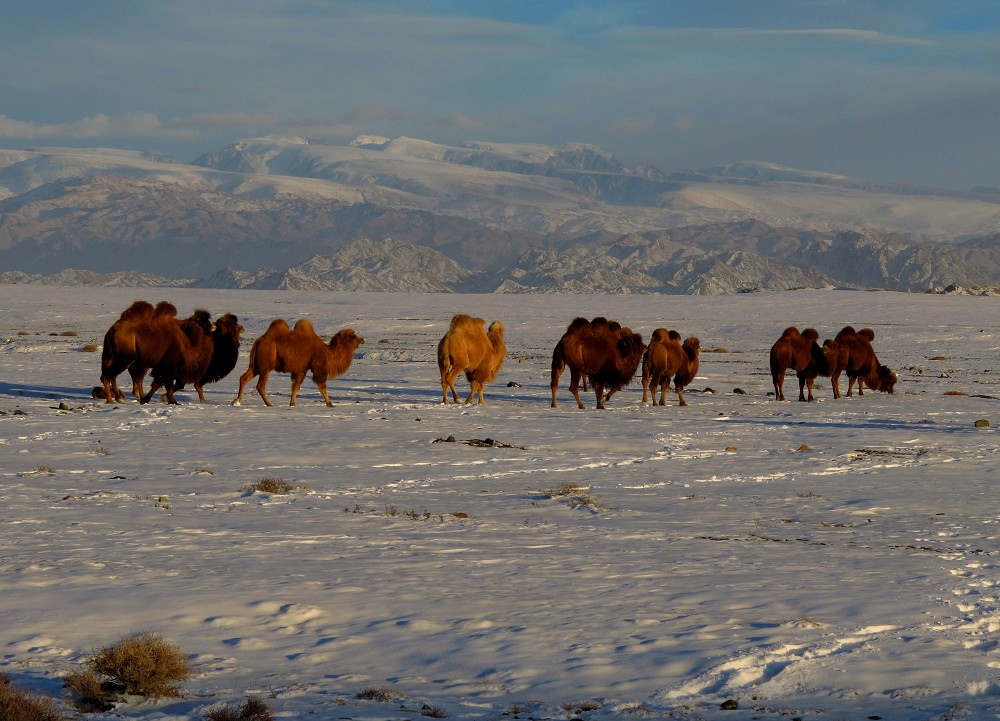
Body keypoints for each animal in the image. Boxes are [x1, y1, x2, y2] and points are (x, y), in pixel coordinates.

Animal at [233, 316, 364, 404]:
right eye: (352, 336)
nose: (362, 339)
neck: (329, 353)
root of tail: (259, 341)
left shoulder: (301, 369)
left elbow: (295, 387)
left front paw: (292, 404)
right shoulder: (318, 367)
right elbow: (322, 386)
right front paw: (330, 404)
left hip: (256, 365)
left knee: (244, 378)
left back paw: (238, 401)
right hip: (266, 364)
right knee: (260, 385)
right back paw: (269, 404)